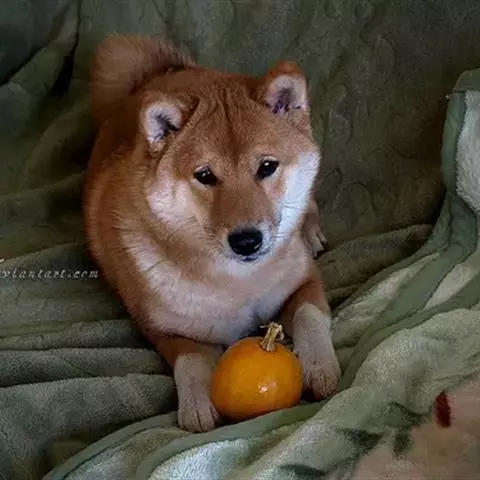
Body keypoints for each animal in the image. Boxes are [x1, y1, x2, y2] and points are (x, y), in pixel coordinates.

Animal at [84, 34, 341, 432]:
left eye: (267, 166)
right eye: (205, 176)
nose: (247, 240)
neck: (239, 284)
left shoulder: (304, 282)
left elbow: (308, 316)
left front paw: (319, 367)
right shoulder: (161, 329)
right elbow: (190, 358)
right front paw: (198, 402)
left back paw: (310, 232)